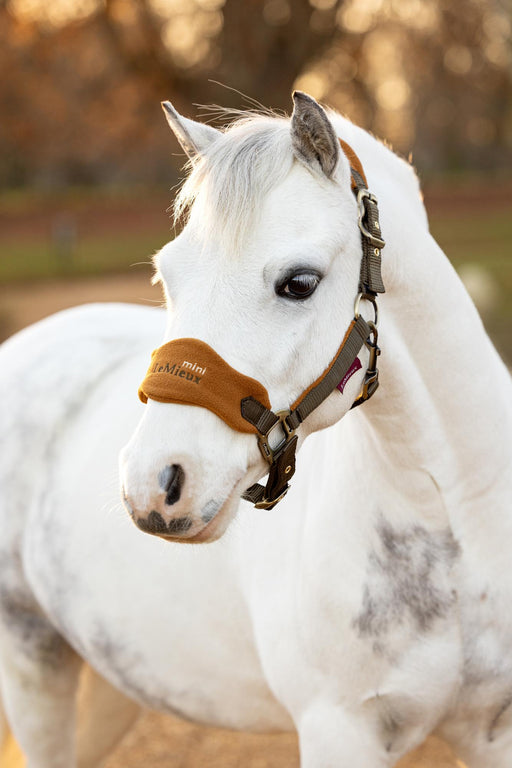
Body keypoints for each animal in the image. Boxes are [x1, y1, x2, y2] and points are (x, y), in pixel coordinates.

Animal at [1, 91, 512, 768]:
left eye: (299, 282)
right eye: (167, 276)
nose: (155, 483)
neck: (450, 508)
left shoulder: (493, 731)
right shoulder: (337, 730)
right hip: (33, 664)